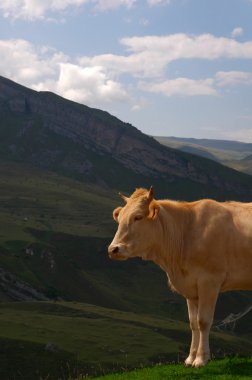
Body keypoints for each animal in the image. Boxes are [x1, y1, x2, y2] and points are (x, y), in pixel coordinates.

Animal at [108, 187, 252, 368]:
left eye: (138, 217)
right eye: (119, 219)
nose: (113, 249)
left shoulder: (210, 281)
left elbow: (203, 321)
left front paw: (201, 359)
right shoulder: (191, 287)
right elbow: (193, 323)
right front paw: (190, 358)